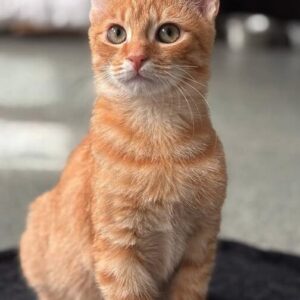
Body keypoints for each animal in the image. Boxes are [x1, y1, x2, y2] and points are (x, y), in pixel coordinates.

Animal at [19, 0, 226, 300]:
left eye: (169, 33)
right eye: (117, 33)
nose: (137, 58)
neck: (158, 137)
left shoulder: (200, 244)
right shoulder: (117, 249)